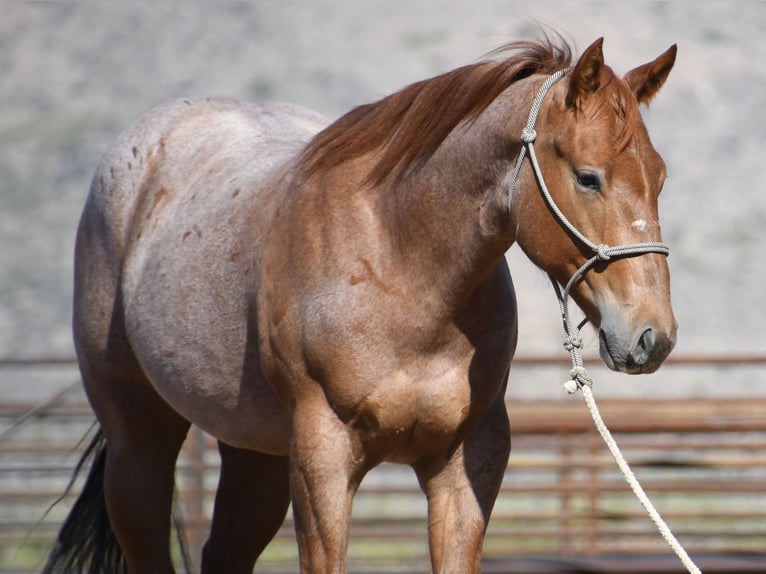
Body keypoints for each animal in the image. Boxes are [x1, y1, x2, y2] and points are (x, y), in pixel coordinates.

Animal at [44, 35, 677, 573]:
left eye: (660, 177)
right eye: (588, 177)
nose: (654, 336)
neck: (401, 269)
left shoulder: (468, 462)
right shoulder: (322, 464)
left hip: (254, 454)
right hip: (139, 443)